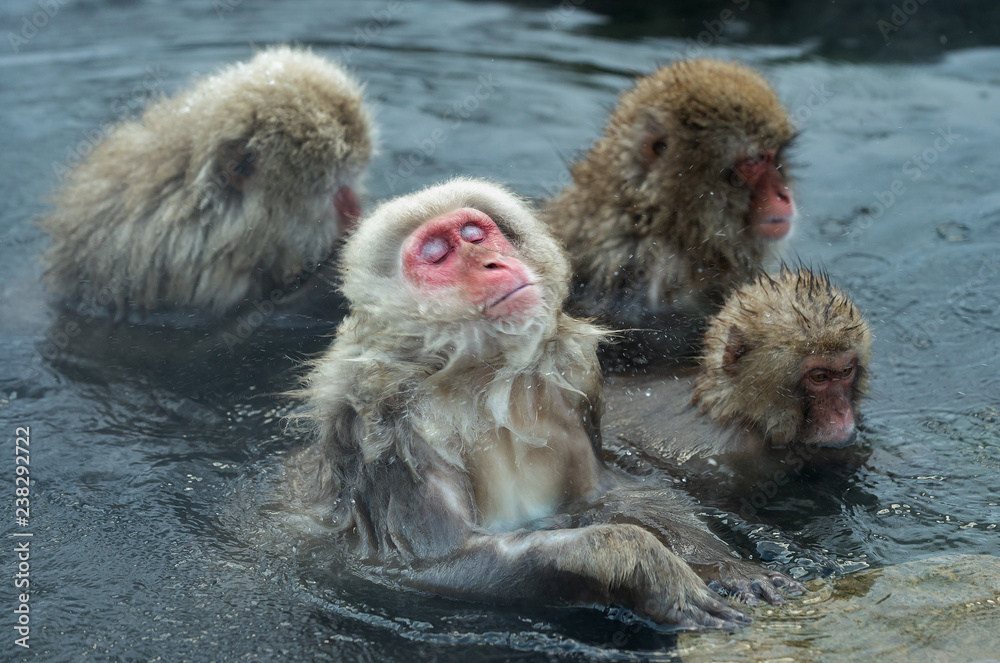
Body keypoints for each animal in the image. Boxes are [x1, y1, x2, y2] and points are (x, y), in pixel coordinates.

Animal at [279, 178, 803, 630]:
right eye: (438, 254)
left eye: (475, 234)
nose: (491, 263)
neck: (479, 378)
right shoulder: (385, 430)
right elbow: (433, 564)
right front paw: (647, 567)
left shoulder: (573, 388)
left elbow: (605, 496)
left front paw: (726, 565)